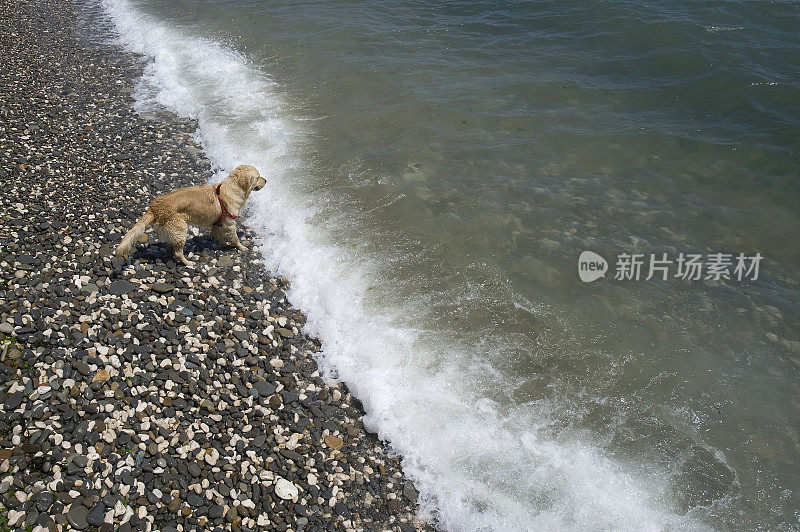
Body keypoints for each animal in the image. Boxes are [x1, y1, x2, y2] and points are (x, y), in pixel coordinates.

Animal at [114, 165, 268, 268]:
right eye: (258, 176)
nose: (266, 180)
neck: (233, 188)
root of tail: (154, 207)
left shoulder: (218, 222)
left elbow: (218, 235)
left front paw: (223, 244)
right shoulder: (229, 222)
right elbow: (234, 237)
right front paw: (241, 246)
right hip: (181, 228)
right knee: (178, 252)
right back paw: (187, 262)